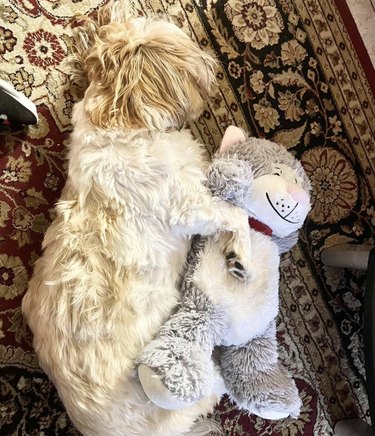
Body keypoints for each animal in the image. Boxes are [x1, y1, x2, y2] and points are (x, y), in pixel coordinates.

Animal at [22, 4, 253, 436]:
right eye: (186, 43)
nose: (211, 61)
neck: (120, 123)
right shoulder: (188, 205)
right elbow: (237, 214)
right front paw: (241, 254)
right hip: (192, 393)